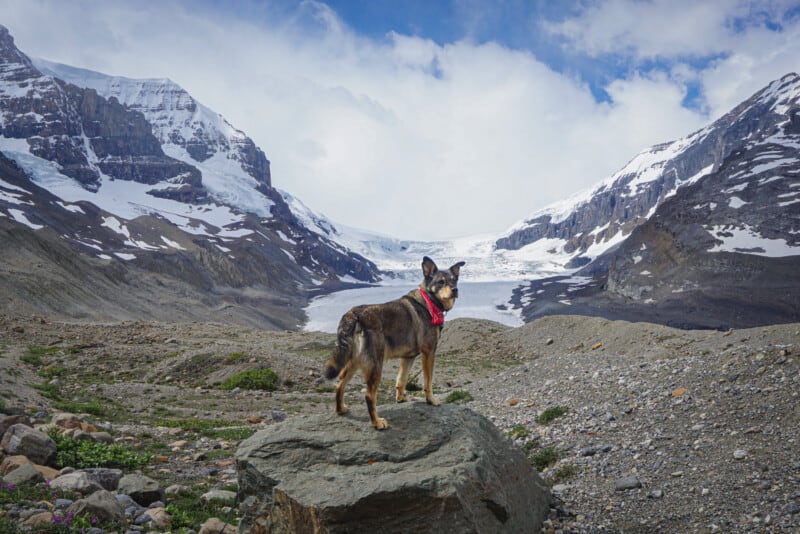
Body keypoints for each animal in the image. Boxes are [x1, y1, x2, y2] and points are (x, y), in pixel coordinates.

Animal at [322, 256, 466, 432]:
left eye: (454, 280)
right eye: (441, 281)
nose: (455, 290)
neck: (429, 302)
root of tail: (353, 315)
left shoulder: (408, 357)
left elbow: (401, 380)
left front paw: (401, 398)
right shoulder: (429, 352)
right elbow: (428, 382)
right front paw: (431, 400)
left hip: (354, 362)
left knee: (339, 384)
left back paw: (340, 409)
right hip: (376, 365)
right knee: (369, 395)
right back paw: (377, 422)